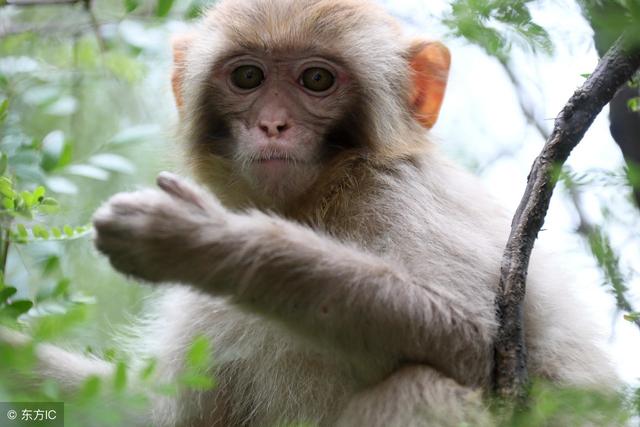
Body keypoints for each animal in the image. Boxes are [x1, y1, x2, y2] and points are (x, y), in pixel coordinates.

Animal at [0, 0, 620, 426]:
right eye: (248, 77)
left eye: (316, 79)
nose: (273, 124)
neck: (322, 198)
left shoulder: (407, 195)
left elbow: (476, 341)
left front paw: (206, 242)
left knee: (423, 384)